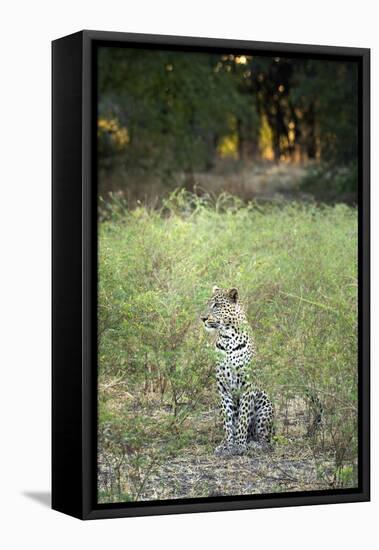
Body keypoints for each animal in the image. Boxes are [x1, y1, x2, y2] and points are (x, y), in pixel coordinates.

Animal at [202, 286, 274, 460]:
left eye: (217, 305)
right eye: (207, 304)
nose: (202, 318)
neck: (227, 338)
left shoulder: (247, 385)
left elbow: (243, 418)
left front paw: (239, 445)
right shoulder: (223, 387)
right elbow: (228, 420)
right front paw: (228, 445)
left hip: (264, 403)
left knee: (264, 438)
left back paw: (253, 444)